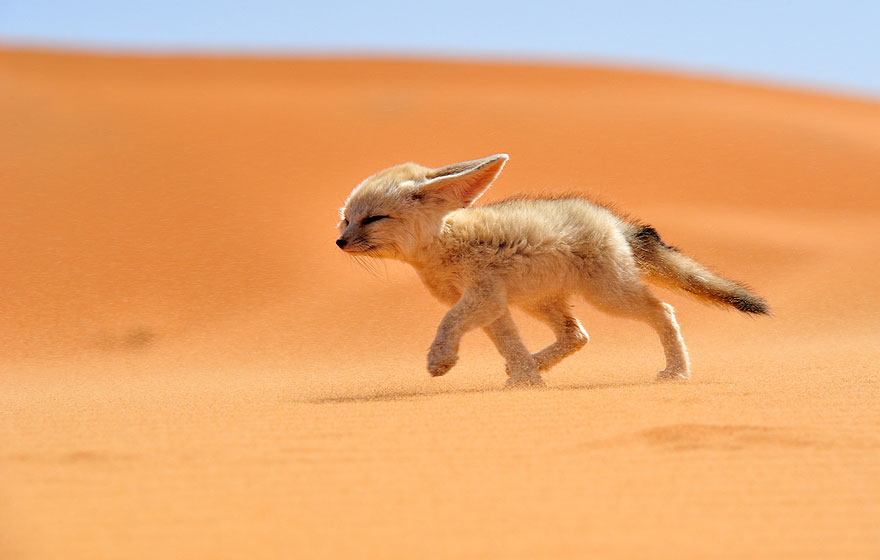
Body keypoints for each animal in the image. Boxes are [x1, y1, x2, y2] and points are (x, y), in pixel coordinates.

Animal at [336, 154, 768, 388]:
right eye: (346, 220)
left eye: (373, 219)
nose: (339, 242)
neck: (444, 243)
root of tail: (612, 220)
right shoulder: (494, 305)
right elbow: (508, 343)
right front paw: (527, 380)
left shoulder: (481, 297)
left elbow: (448, 322)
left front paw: (440, 360)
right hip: (540, 302)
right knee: (577, 335)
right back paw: (534, 365)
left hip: (610, 297)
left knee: (663, 311)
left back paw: (677, 371)